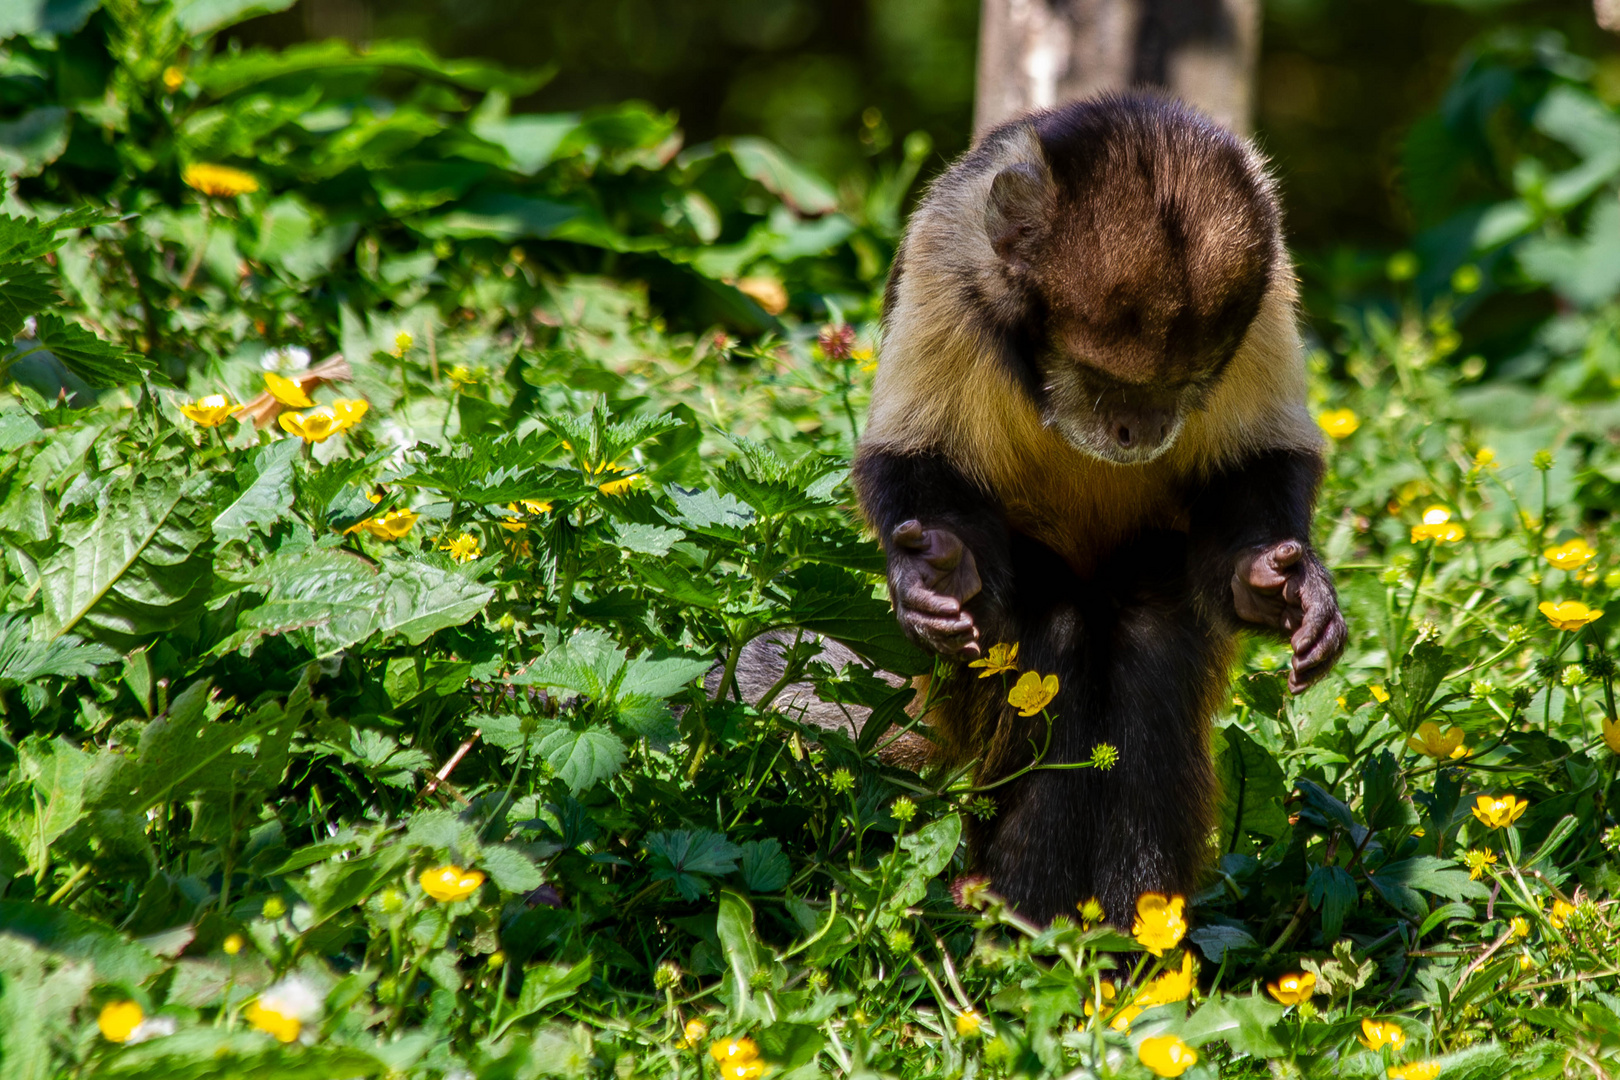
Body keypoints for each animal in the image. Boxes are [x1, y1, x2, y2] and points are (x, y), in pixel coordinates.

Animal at [855, 93, 1347, 926]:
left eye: (1184, 383)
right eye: (1099, 378)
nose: (1139, 430)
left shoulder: (1268, 282)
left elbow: (1258, 462)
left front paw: (1279, 583)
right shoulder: (948, 259)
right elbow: (910, 458)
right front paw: (938, 575)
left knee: (1149, 627)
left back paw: (1129, 932)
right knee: (1049, 629)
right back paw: (1032, 924)